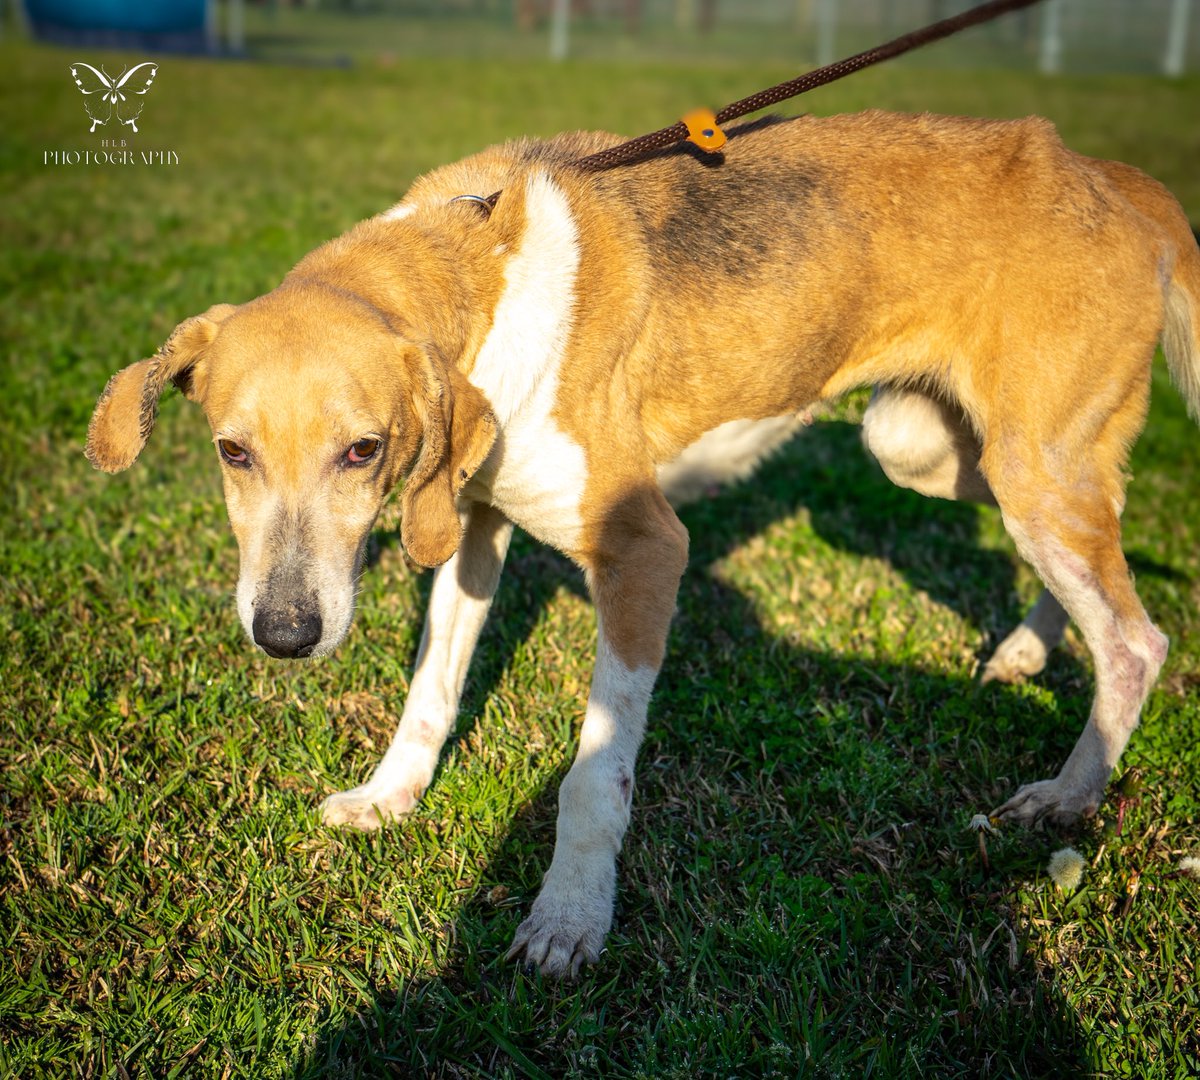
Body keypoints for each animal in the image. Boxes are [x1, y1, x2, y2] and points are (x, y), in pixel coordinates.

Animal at [87, 111, 1200, 979]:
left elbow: (594, 775)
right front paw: (390, 798)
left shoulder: (643, 554)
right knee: (1092, 555)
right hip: (936, 447)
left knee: (1136, 638)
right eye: (231, 452)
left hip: (1026, 464)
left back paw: (1069, 794)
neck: (475, 282)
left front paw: (569, 919)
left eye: (361, 451)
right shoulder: (473, 522)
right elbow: (431, 691)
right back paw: (1030, 648)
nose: (283, 634)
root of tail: (1110, 176)